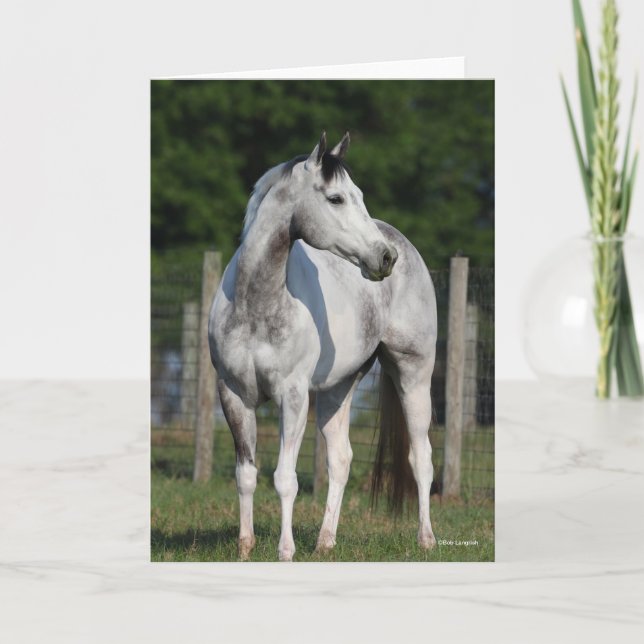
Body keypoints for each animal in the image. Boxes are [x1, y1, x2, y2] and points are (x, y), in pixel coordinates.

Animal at [208, 132, 437, 561]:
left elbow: (285, 478)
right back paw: (325, 541)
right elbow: (246, 474)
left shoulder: (293, 396)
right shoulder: (233, 394)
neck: (256, 304)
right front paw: (245, 548)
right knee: (341, 459)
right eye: (336, 198)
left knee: (422, 457)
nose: (385, 257)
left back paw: (426, 539)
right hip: (338, 387)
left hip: (414, 374)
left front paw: (285, 551)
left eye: (358, 195)